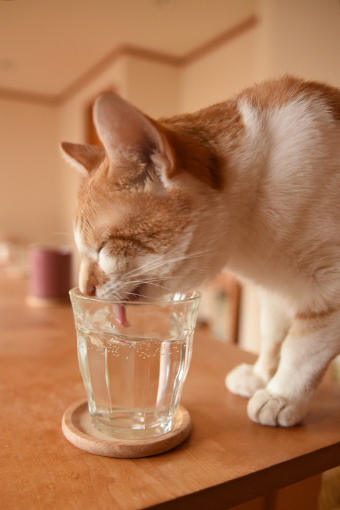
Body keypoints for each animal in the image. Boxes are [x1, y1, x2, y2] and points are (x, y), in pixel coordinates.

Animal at [61, 75, 340, 426]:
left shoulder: (328, 288)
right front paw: (262, 376)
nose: (84, 290)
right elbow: (272, 335)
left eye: (104, 247)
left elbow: (303, 349)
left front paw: (282, 395)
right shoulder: (275, 291)